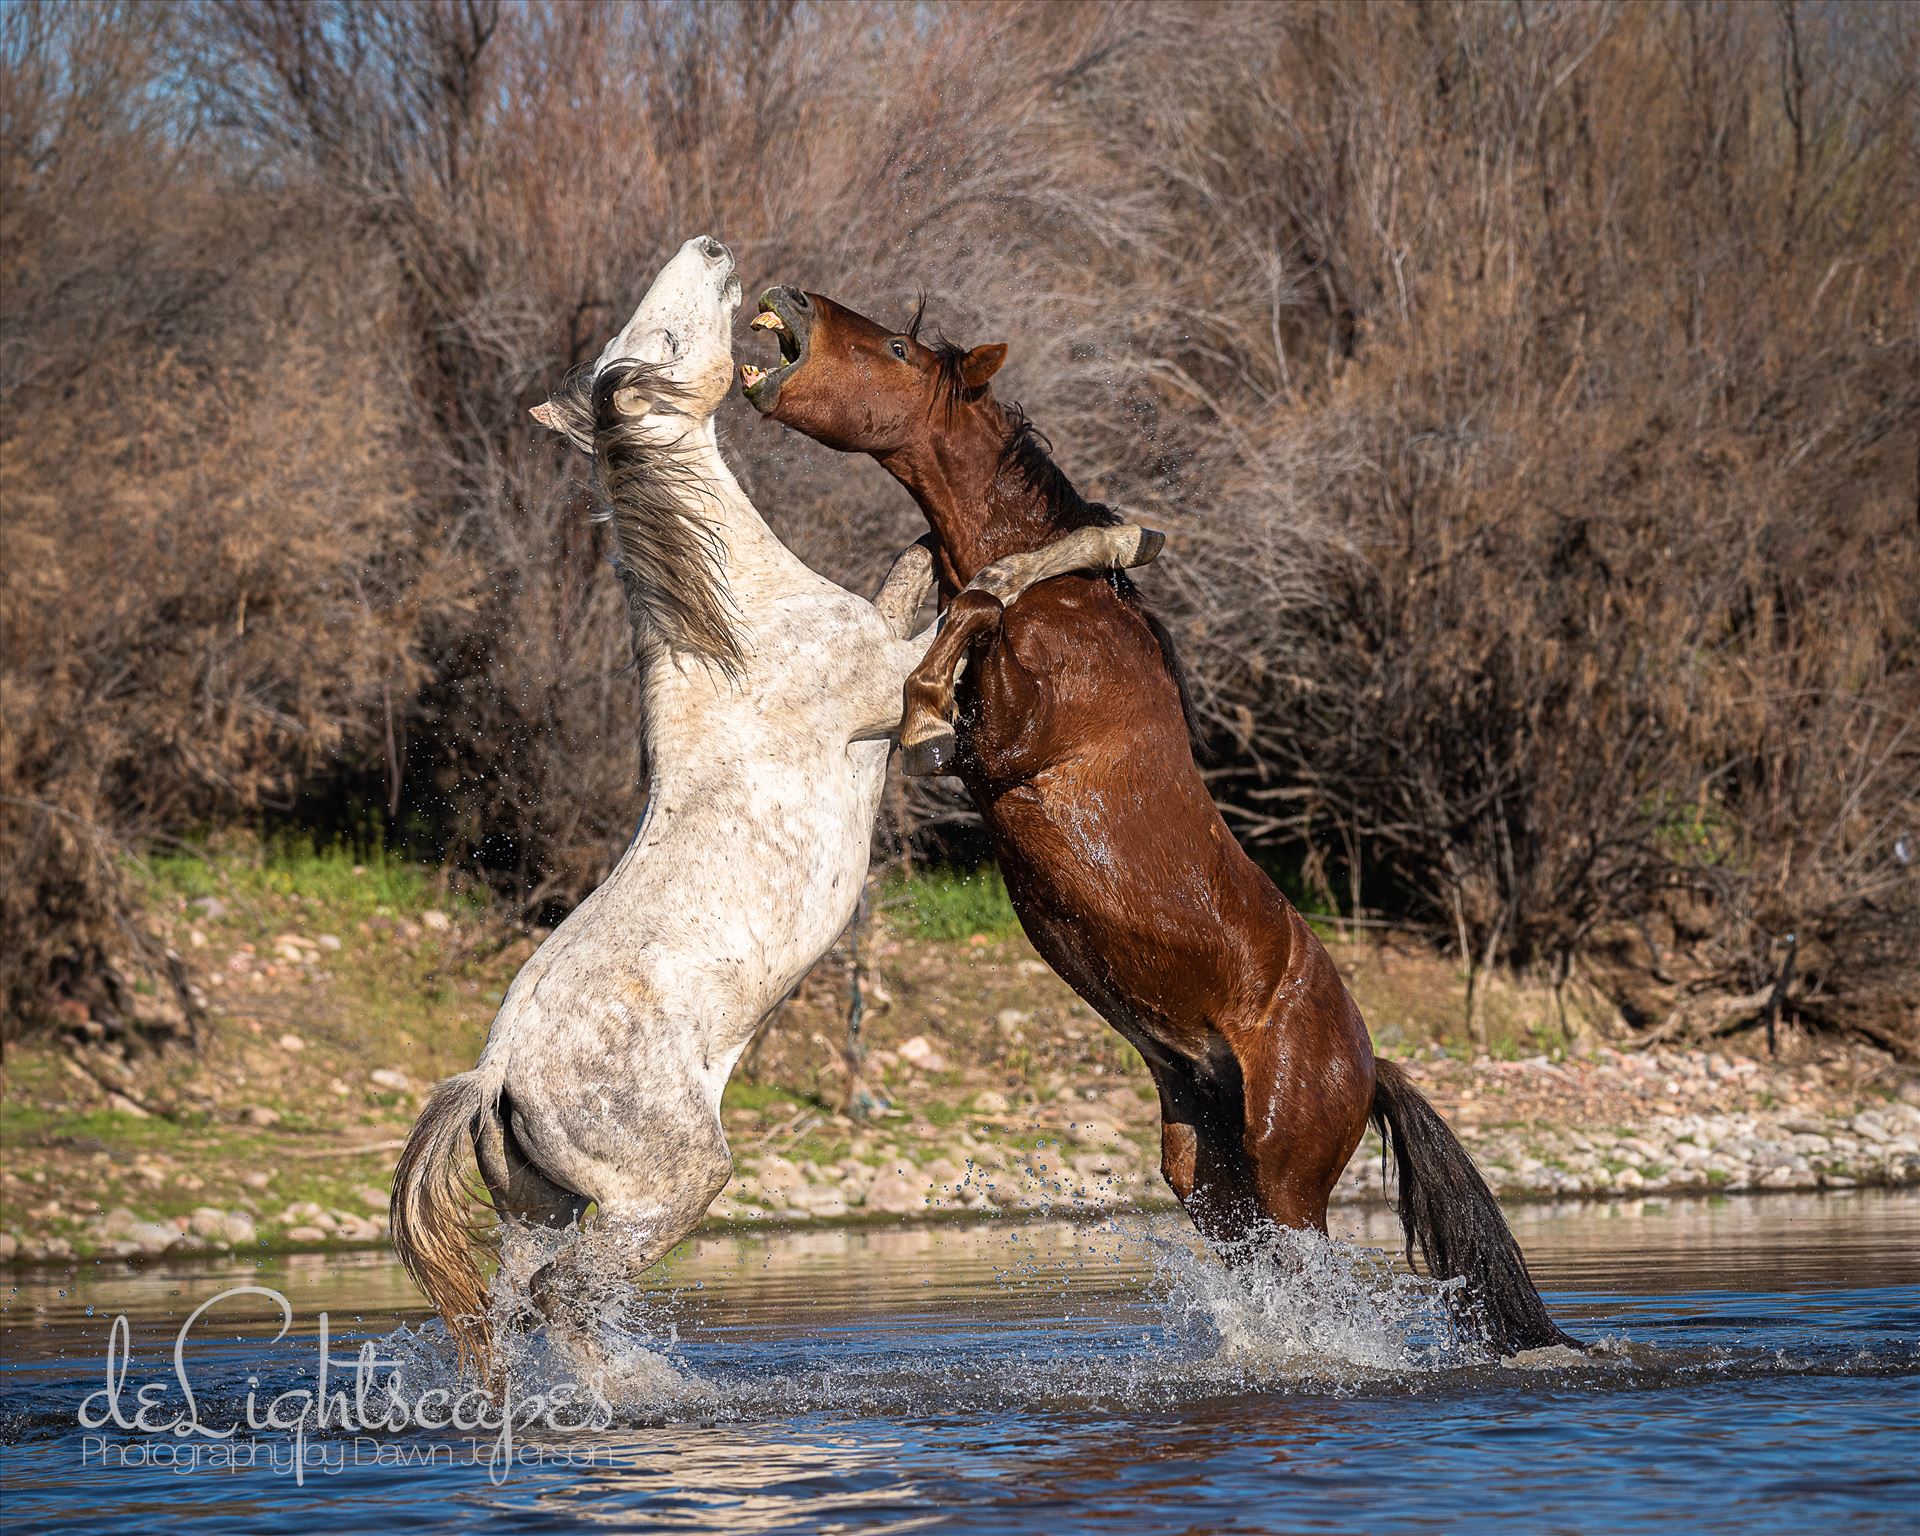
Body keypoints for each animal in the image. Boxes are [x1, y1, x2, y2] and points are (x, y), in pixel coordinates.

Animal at [389, 237, 1152, 1367]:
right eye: (659, 338)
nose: (712, 249)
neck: (746, 634)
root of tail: (496, 1076)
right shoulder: (898, 690)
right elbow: (988, 590)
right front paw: (1120, 538)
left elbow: (924, 562)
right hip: (672, 1186)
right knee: (567, 1296)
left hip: (540, 1208)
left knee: (517, 1301)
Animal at [741, 288, 1566, 1359]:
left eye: (893, 348)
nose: (787, 300)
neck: (1066, 602)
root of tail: (1366, 1061)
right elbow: (949, 603)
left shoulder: (1009, 747)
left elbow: (969, 616)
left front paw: (932, 691)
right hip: (1206, 1167)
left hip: (1287, 1168)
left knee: (1313, 1273)